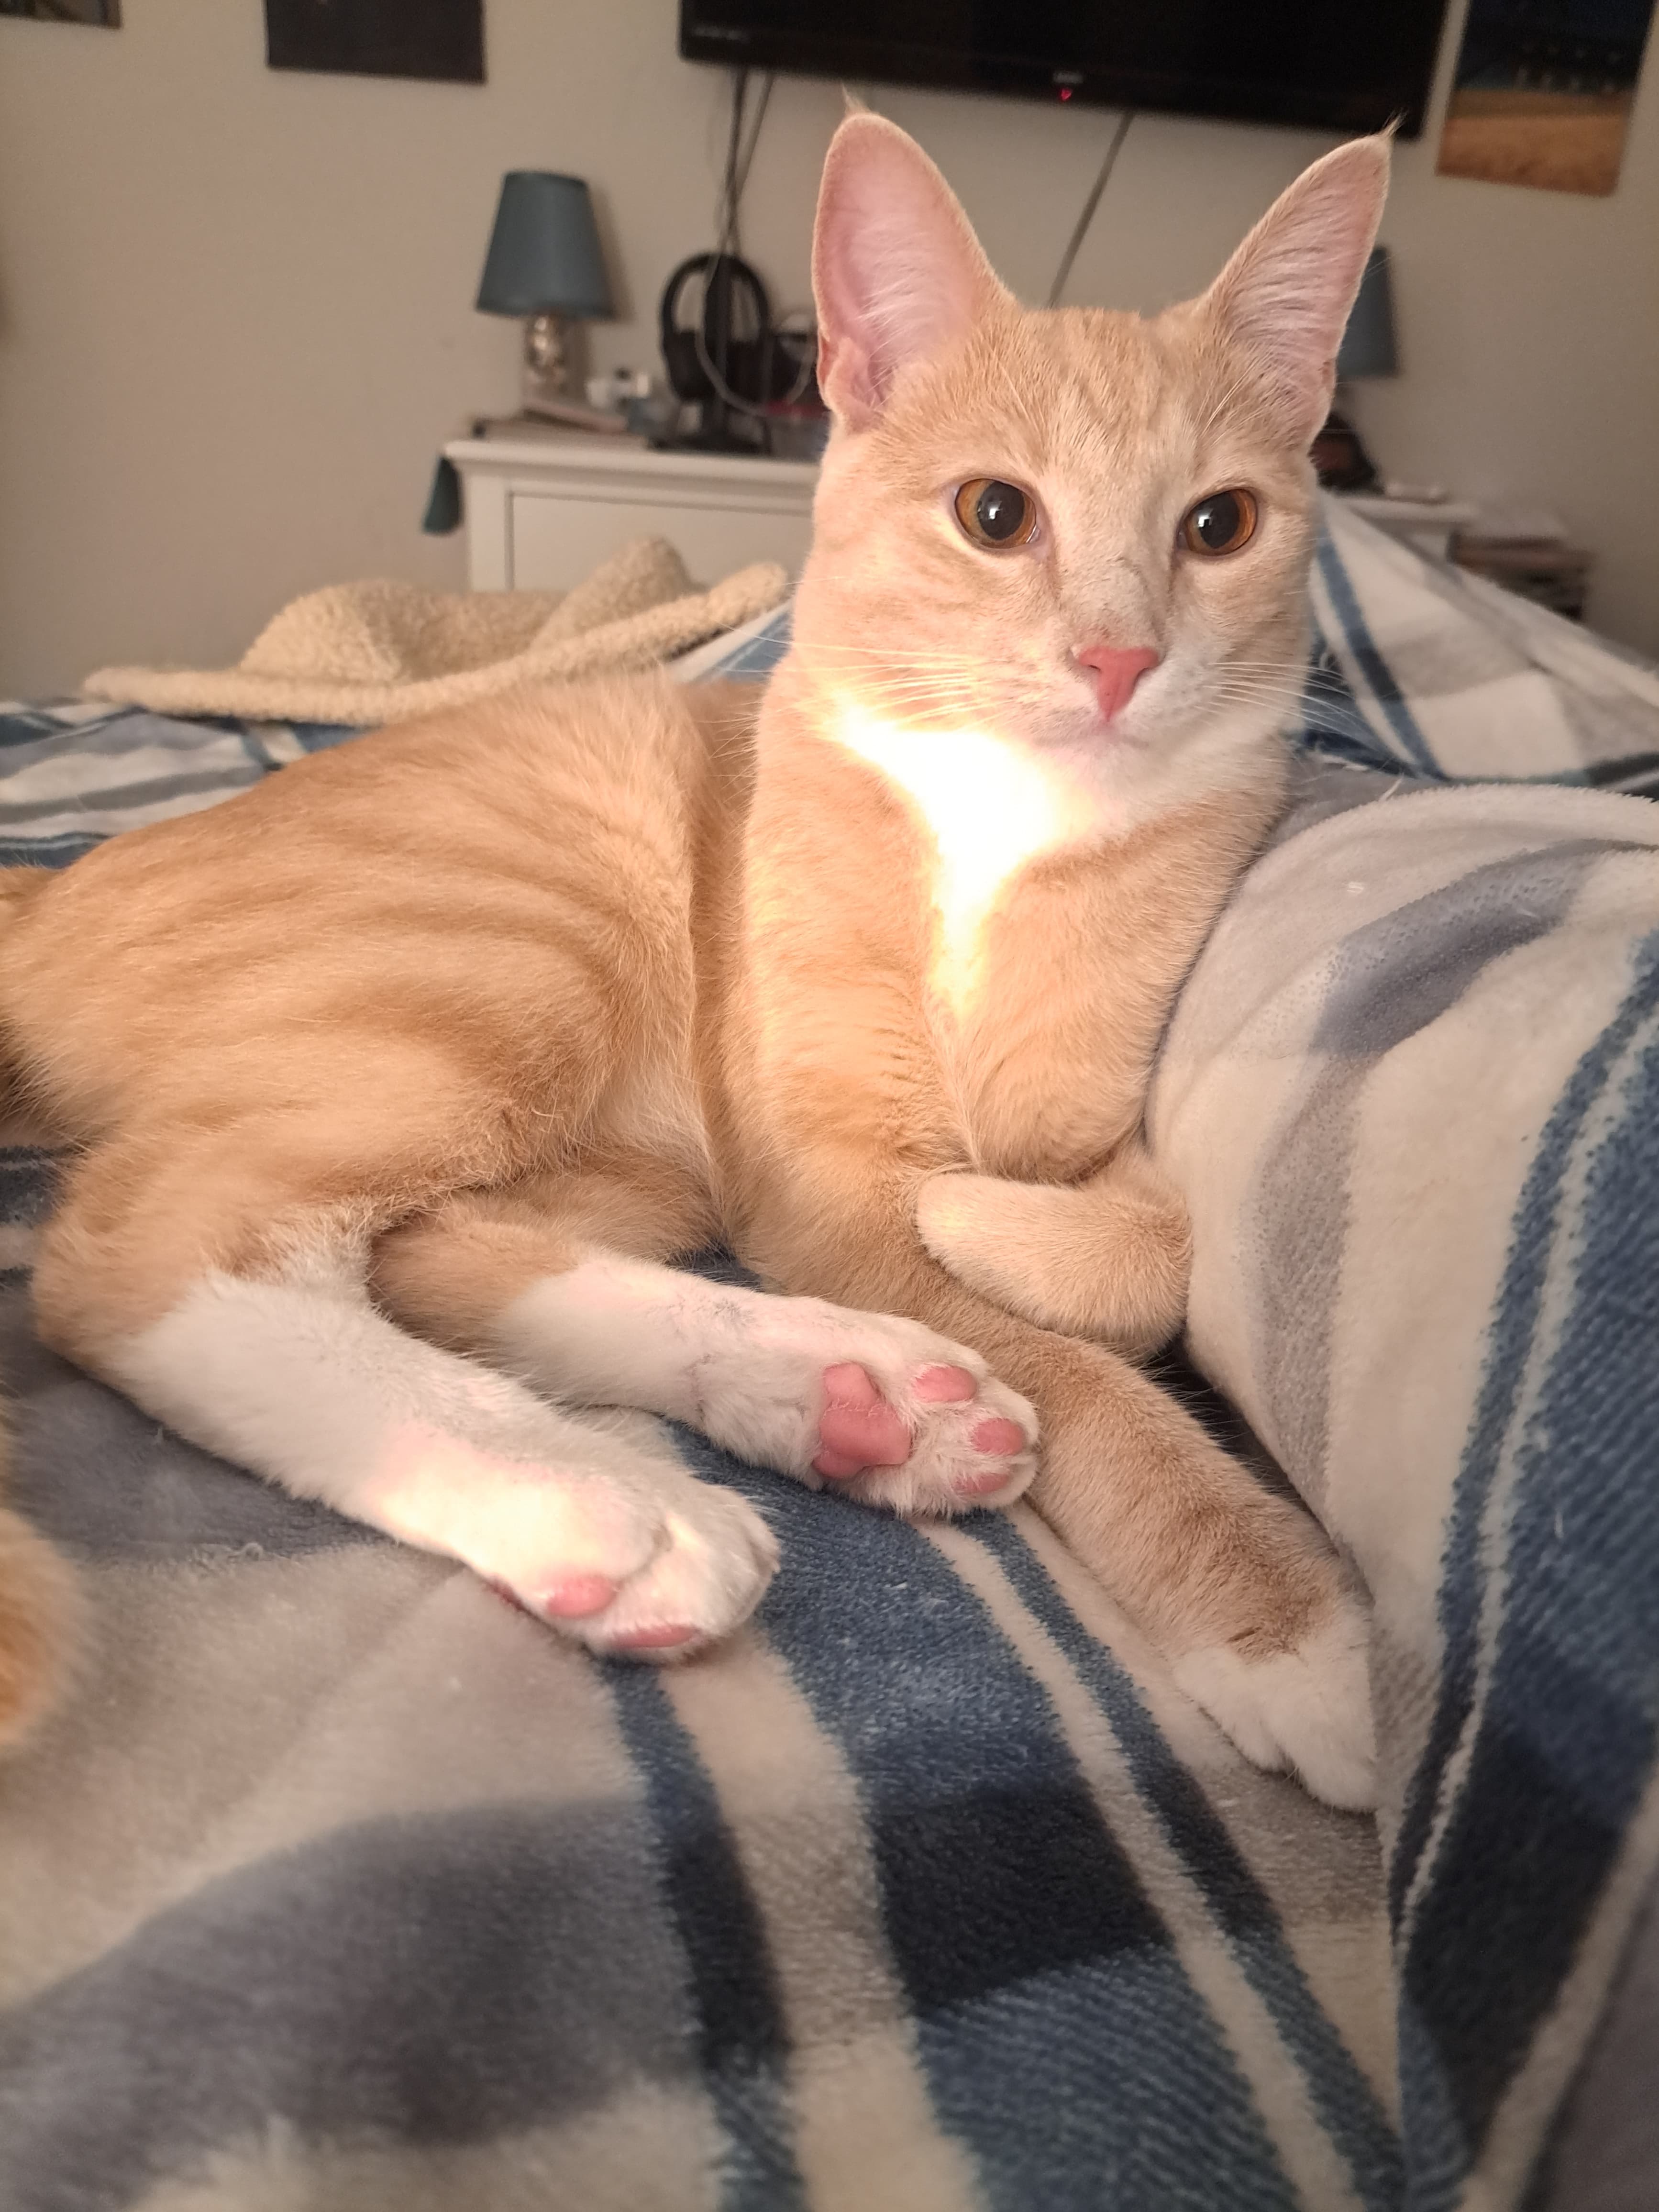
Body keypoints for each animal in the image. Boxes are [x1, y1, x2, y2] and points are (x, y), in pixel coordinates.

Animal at [0, 113, 1388, 1806]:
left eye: (1218, 526)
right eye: (996, 515)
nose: (1120, 658)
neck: (1011, 822)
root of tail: (51, 886)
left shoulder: (1083, 1136)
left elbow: (1149, 1251)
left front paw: (992, 1256)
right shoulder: (823, 1183)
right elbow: (1075, 1359)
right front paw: (1279, 1616)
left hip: (602, 1140)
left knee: (425, 1248)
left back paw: (846, 1397)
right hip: (518, 946)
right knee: (155, 1250)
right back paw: (595, 1493)